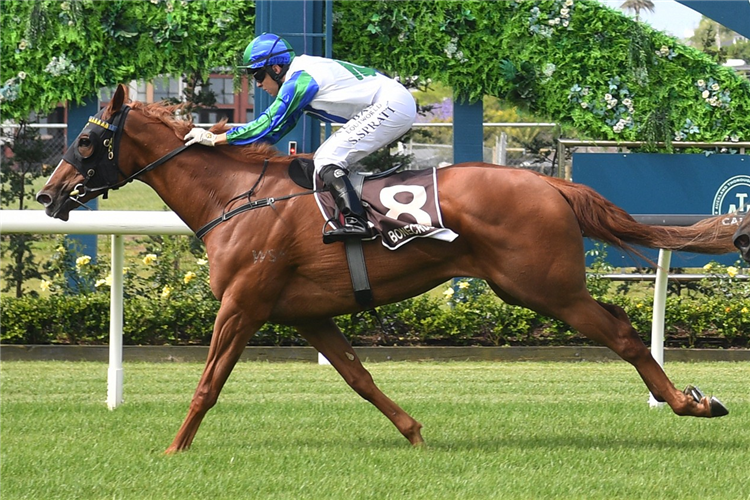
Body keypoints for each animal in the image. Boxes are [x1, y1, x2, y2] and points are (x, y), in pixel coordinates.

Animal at [38, 85, 736, 454]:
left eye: (86, 141)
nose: (48, 194)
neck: (236, 197)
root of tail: (552, 185)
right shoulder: (308, 314)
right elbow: (359, 377)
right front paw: (415, 434)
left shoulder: (243, 304)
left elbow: (208, 383)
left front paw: (174, 449)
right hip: (539, 287)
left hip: (543, 288)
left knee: (620, 332)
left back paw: (689, 403)